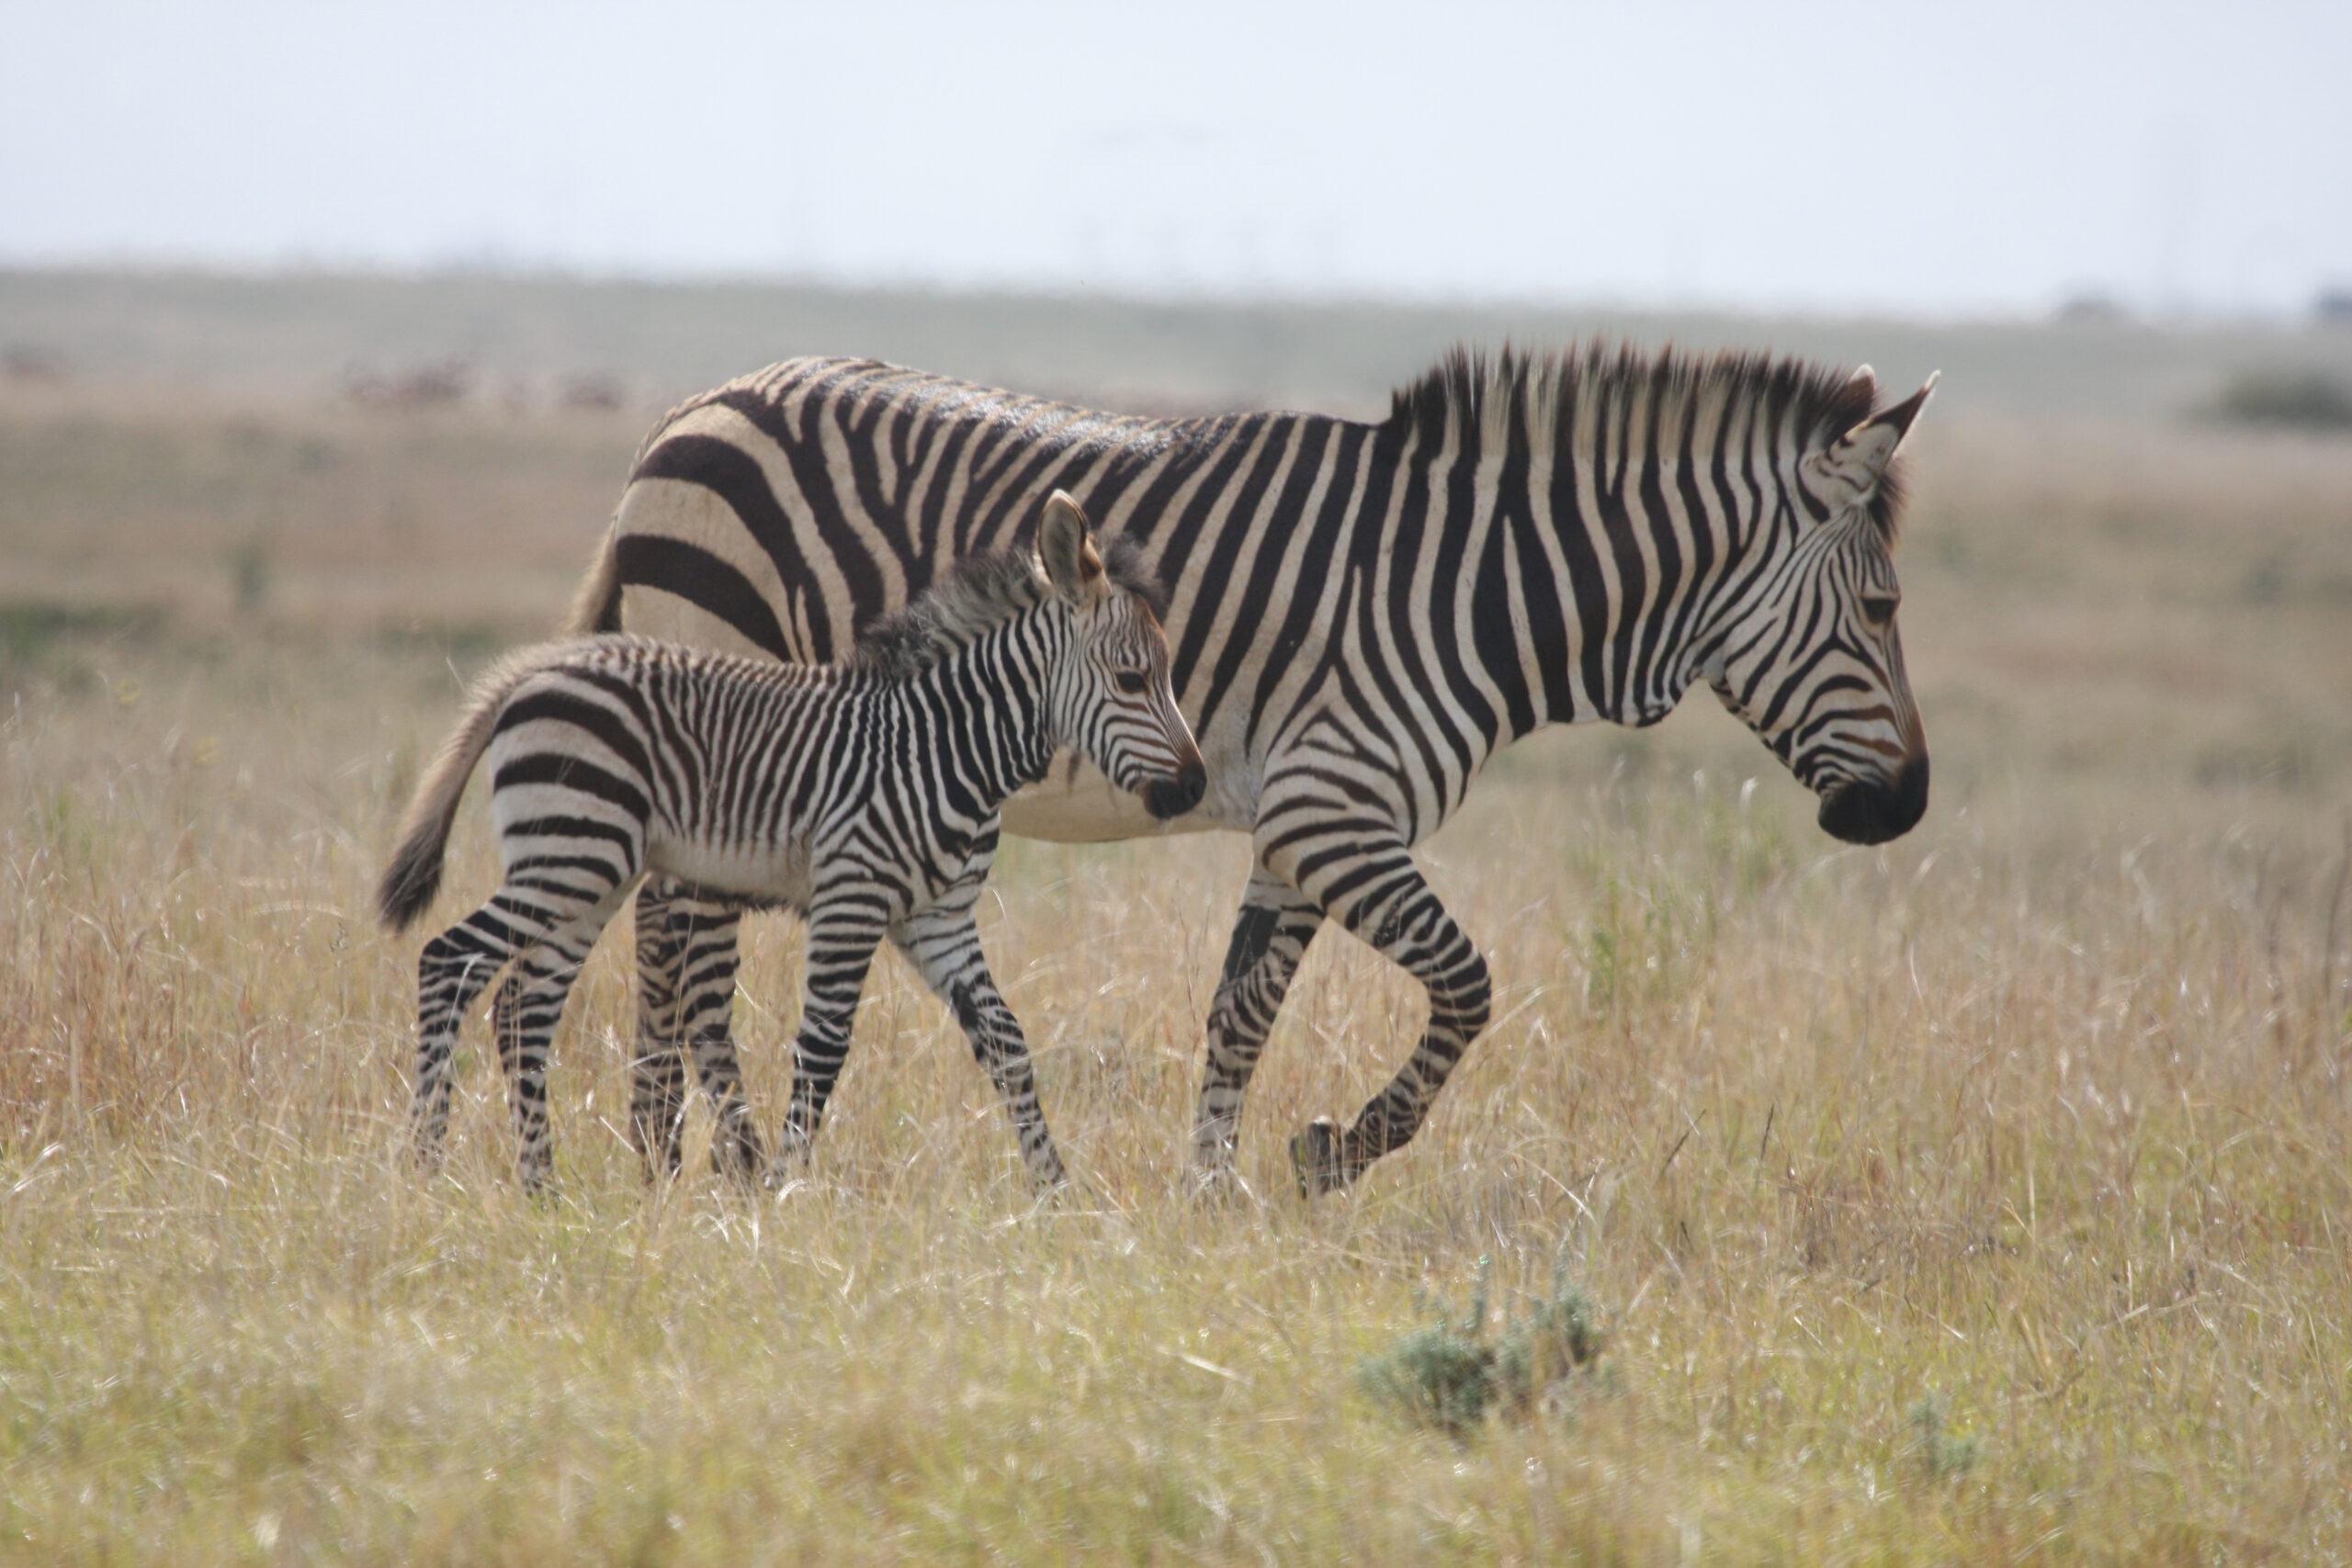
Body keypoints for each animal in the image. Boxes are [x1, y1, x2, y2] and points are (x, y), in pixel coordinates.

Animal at [383, 495, 1204, 1194]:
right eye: (1133, 679)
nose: (1194, 787)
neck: (946, 748)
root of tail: (535, 672)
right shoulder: (851, 899)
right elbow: (824, 1047)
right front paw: (783, 1189)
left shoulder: (938, 917)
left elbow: (1006, 1041)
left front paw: (1056, 1189)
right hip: (569, 854)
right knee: (450, 963)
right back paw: (426, 1166)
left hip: (588, 873)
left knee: (523, 1005)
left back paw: (541, 1187)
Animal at [564, 345, 1928, 1189]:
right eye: (1880, 606)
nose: (1908, 806)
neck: (1468, 593)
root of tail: (689, 411)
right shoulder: (1339, 812)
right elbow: (1469, 984)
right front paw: (1340, 1150)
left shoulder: (1302, 823)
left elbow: (1240, 1011)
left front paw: (1210, 1194)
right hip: (728, 689)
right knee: (686, 950)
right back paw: (714, 1164)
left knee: (670, 938)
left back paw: (666, 1160)